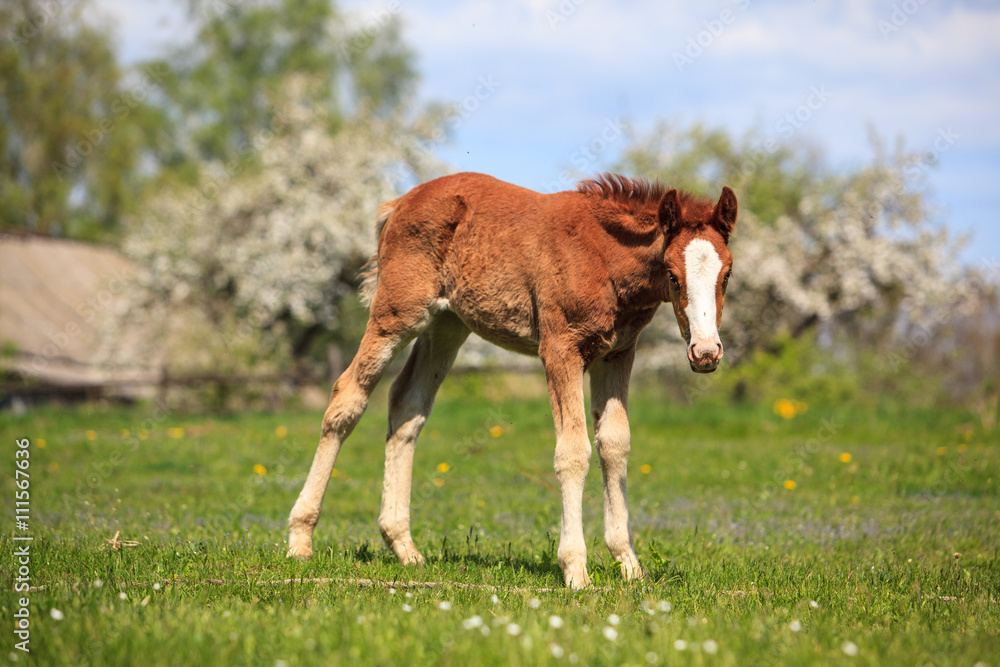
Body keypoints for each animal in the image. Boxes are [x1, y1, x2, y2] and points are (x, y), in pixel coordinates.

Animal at [287, 172, 737, 588]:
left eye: (728, 274)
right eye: (672, 275)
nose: (706, 352)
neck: (603, 257)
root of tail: (399, 203)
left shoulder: (617, 354)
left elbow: (614, 444)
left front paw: (629, 565)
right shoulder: (560, 349)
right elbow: (573, 451)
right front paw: (576, 571)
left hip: (447, 324)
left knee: (407, 405)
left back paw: (405, 548)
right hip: (397, 314)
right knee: (348, 397)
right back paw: (300, 540)